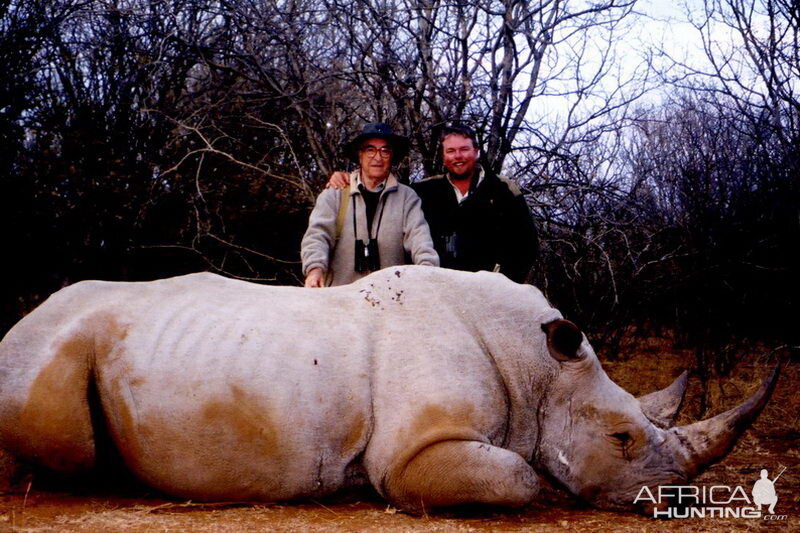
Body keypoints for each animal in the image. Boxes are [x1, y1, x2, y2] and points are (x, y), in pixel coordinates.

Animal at [0, 266, 780, 512]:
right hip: (41, 347)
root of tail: (19, 322)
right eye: (622, 437)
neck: (540, 369)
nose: (679, 500)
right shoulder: (412, 451)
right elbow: (520, 475)